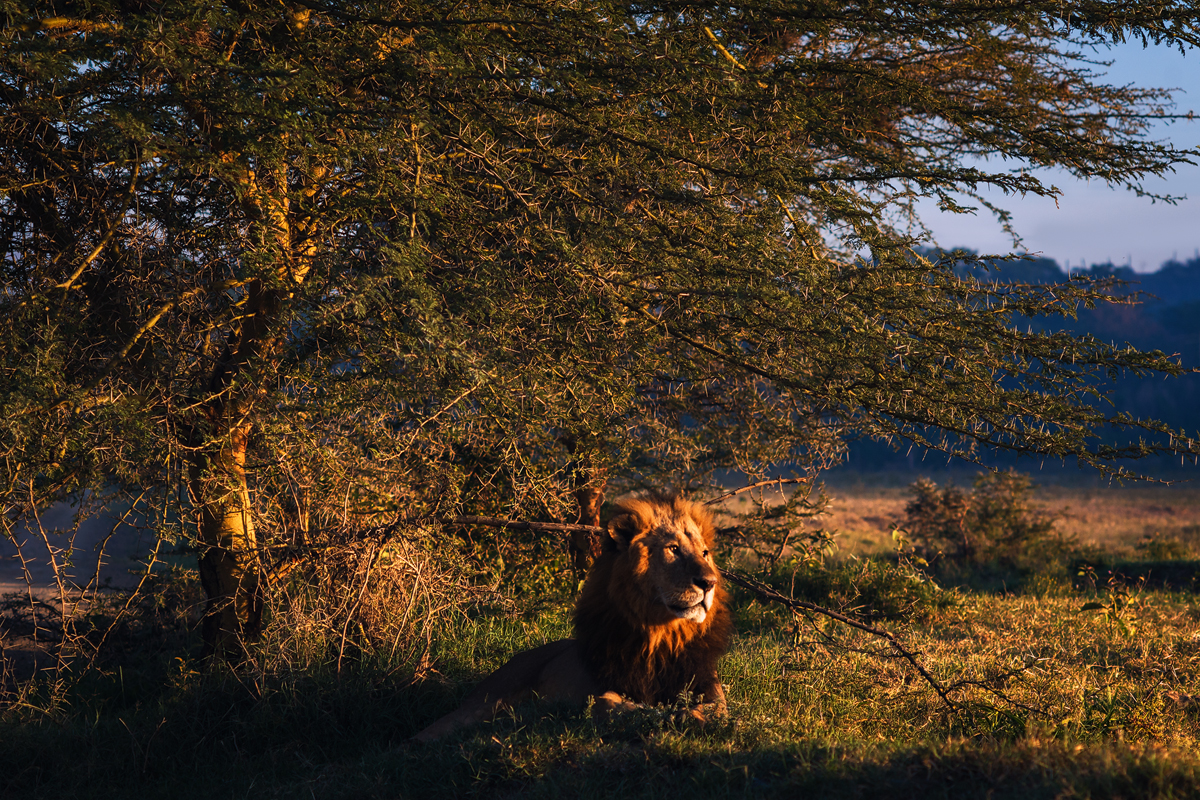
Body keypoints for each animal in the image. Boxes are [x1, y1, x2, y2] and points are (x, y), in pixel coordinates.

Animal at [413, 492, 733, 741]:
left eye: (705, 553)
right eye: (673, 549)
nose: (709, 583)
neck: (662, 636)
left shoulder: (711, 690)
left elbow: (713, 711)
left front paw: (682, 714)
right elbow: (608, 704)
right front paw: (656, 712)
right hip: (480, 704)